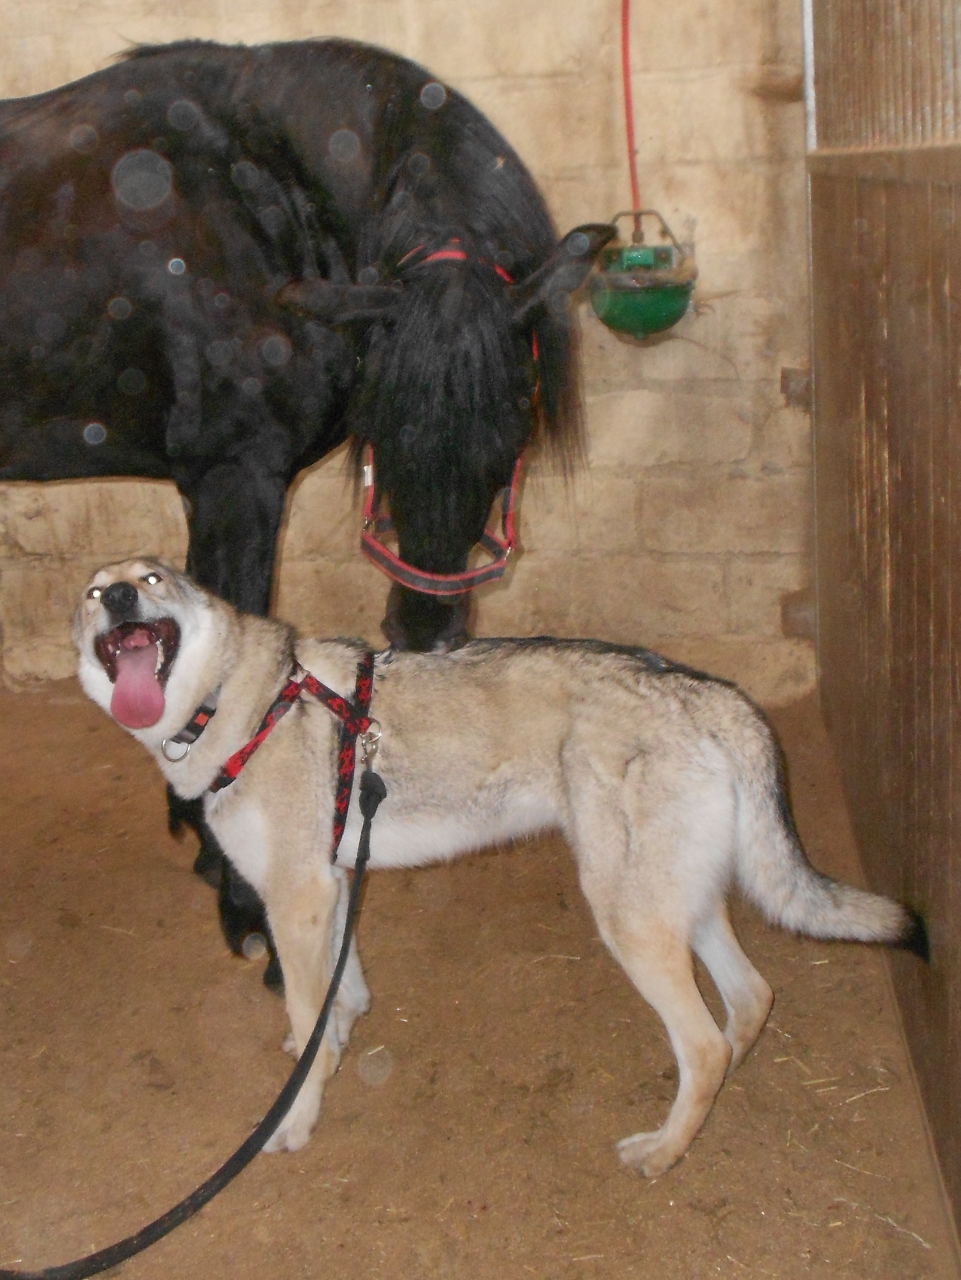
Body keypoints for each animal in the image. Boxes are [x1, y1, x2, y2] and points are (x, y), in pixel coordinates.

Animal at [73, 559, 927, 1175]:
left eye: (154, 578)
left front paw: (297, 1115)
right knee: (748, 1002)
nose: (117, 594)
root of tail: (711, 693)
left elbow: (309, 1011)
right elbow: (338, 1000)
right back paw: (714, 1100)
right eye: (91, 593)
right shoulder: (333, 884)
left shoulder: (298, 897)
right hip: (677, 907)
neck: (240, 705)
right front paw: (333, 1040)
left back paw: (660, 1152)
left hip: (628, 921)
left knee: (705, 1043)